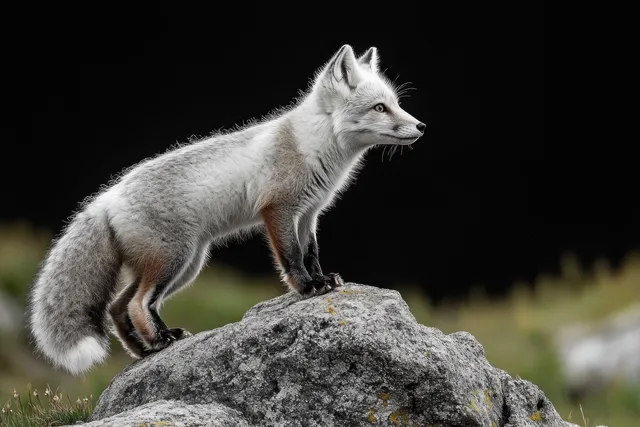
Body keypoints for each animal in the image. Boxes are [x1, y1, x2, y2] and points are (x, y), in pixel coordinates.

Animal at [27, 44, 426, 375]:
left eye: (395, 103)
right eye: (380, 108)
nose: (421, 126)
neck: (312, 146)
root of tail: (107, 196)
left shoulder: (310, 213)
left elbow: (311, 253)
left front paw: (323, 280)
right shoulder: (278, 210)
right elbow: (292, 258)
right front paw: (307, 288)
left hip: (182, 266)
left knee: (118, 307)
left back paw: (145, 350)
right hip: (173, 260)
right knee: (138, 305)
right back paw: (158, 341)